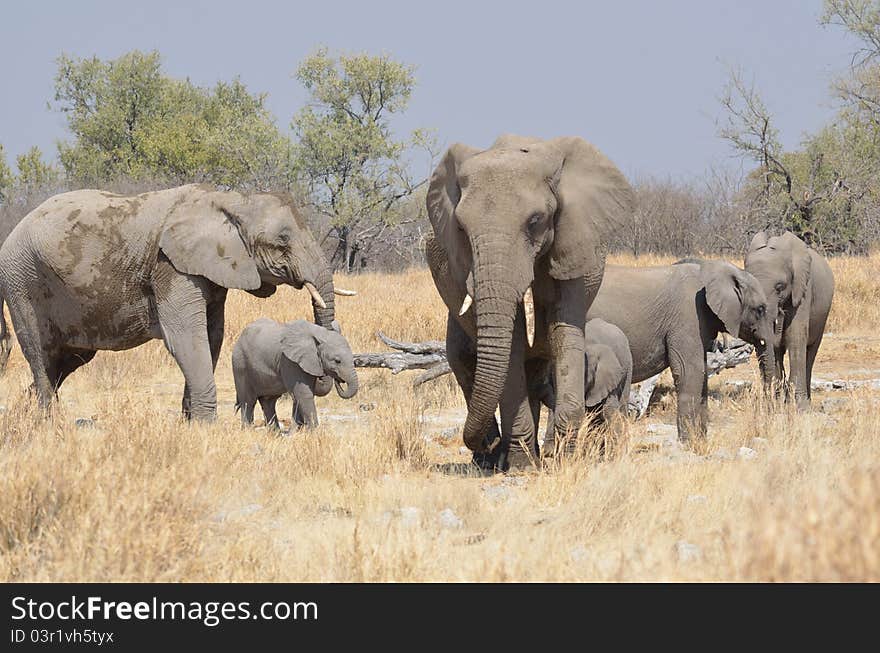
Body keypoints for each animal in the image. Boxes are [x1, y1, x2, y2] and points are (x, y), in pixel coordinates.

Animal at [0, 183, 348, 418]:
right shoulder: (170, 266)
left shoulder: (208, 272)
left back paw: (28, 409)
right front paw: (205, 426)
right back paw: (48, 420)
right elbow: (186, 336)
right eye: (282, 242)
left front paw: (190, 422)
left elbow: (212, 336)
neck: (231, 201)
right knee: (39, 353)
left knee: (65, 359)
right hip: (21, 281)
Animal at [424, 132, 632, 468]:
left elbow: (565, 334)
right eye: (461, 228)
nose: (486, 442)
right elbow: (513, 347)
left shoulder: (573, 245)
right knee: (465, 363)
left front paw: (563, 460)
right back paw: (491, 461)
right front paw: (522, 465)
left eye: (535, 221)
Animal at [588, 258, 772, 440]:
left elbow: (702, 374)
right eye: (760, 309)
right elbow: (688, 372)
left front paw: (700, 441)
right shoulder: (689, 315)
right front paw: (689, 442)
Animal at [744, 230, 836, 408]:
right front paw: (778, 403)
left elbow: (795, 337)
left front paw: (799, 407)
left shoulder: (803, 289)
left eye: (779, 287)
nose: (767, 402)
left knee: (810, 353)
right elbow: (771, 346)